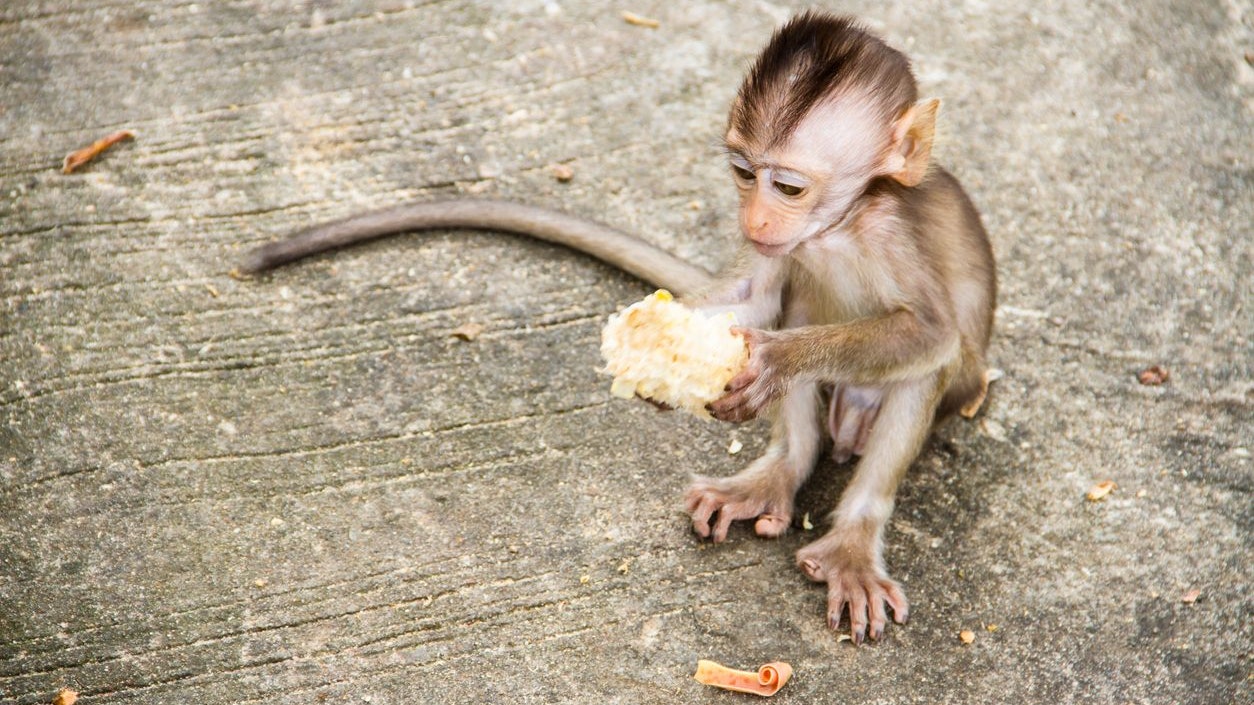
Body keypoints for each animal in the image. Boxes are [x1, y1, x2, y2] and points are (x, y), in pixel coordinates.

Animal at [243, 11, 995, 645]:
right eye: (742, 172)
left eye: (788, 187)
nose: (754, 219)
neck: (839, 226)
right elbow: (754, 294)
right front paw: (658, 352)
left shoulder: (891, 232)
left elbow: (931, 335)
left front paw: (776, 360)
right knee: (800, 308)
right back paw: (780, 469)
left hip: (939, 395)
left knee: (923, 371)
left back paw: (852, 542)